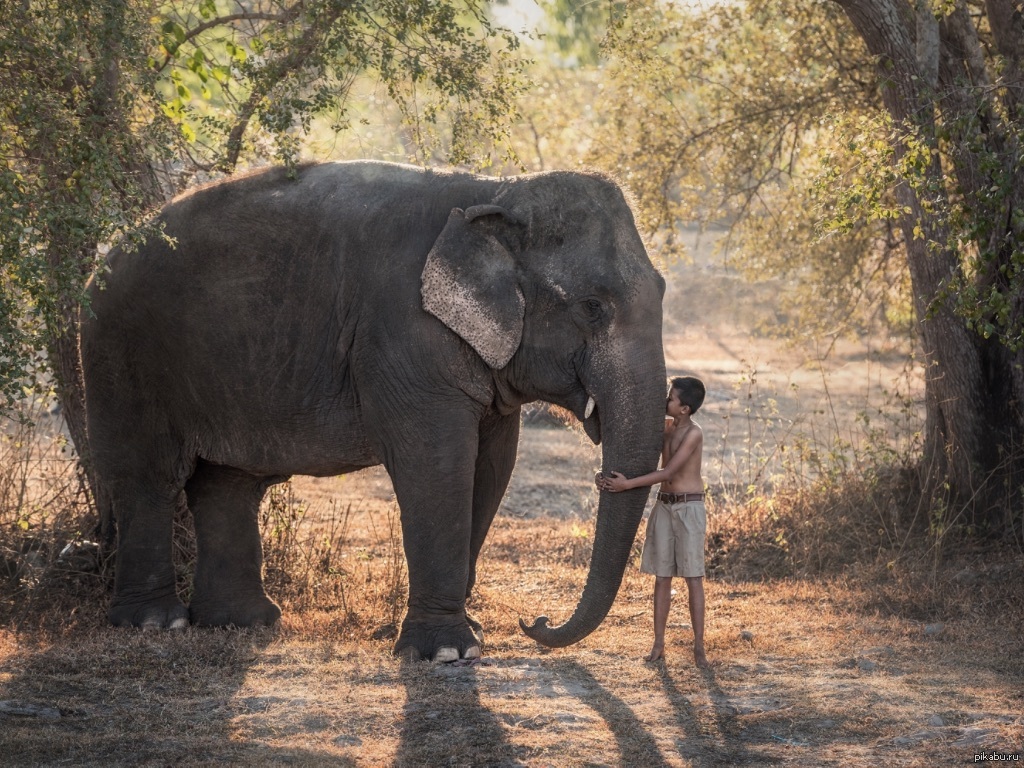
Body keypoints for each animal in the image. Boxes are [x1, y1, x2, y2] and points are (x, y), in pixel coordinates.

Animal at [81, 160, 671, 663]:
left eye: (664, 289)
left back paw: (242, 622)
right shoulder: (404, 334)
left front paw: (470, 634)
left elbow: (492, 467)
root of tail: (101, 262)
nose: (536, 622)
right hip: (119, 353)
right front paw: (447, 653)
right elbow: (437, 467)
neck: (499, 190)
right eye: (592, 308)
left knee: (227, 485)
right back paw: (156, 624)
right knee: (148, 478)